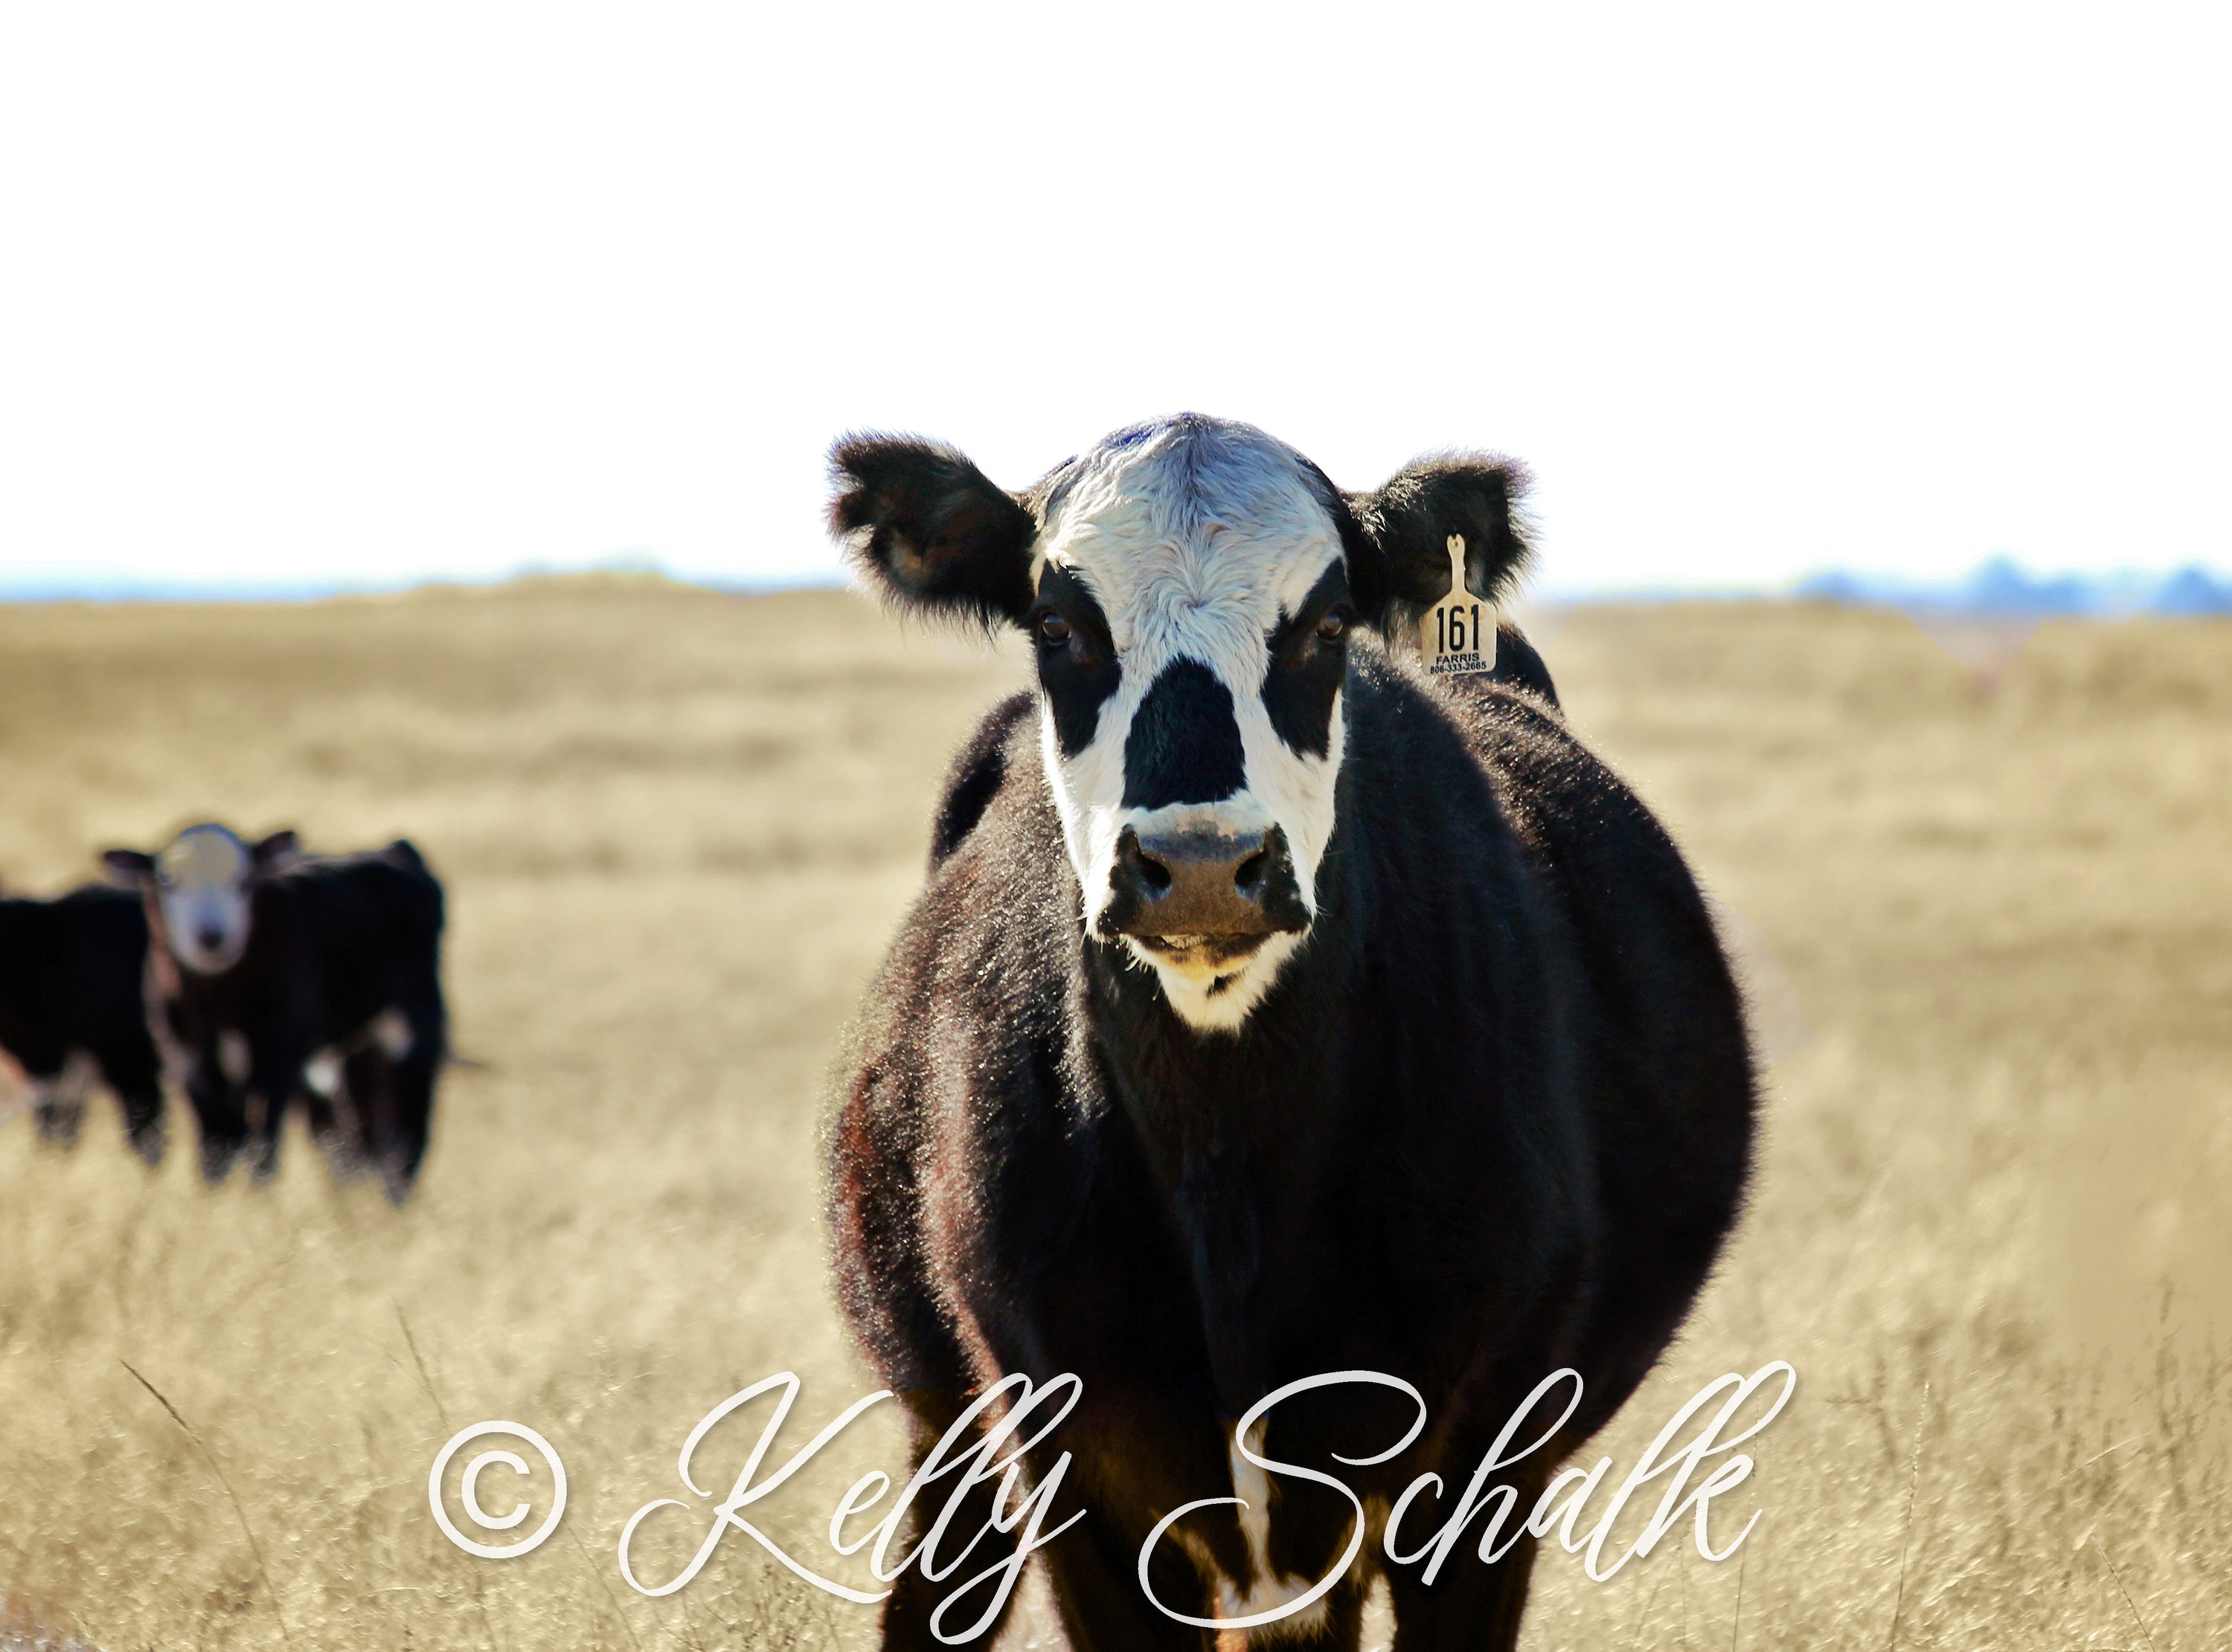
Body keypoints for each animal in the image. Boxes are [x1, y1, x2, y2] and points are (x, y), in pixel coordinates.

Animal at [105, 826, 449, 1196]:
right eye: (167, 881)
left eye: (244, 882)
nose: (211, 936)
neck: (218, 996)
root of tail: (396, 850)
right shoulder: (184, 1051)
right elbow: (216, 1133)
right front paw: (215, 1194)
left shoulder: (279, 1045)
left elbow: (262, 1125)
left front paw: (258, 1193)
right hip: (354, 1050)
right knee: (359, 1134)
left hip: (413, 1031)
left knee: (407, 1131)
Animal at [826, 415, 1759, 1652]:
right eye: (1060, 625)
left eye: (1324, 627)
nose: (1201, 865)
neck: (1230, 1173)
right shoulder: (1075, 1462)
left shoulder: (1482, 1471)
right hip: (952, 1430)